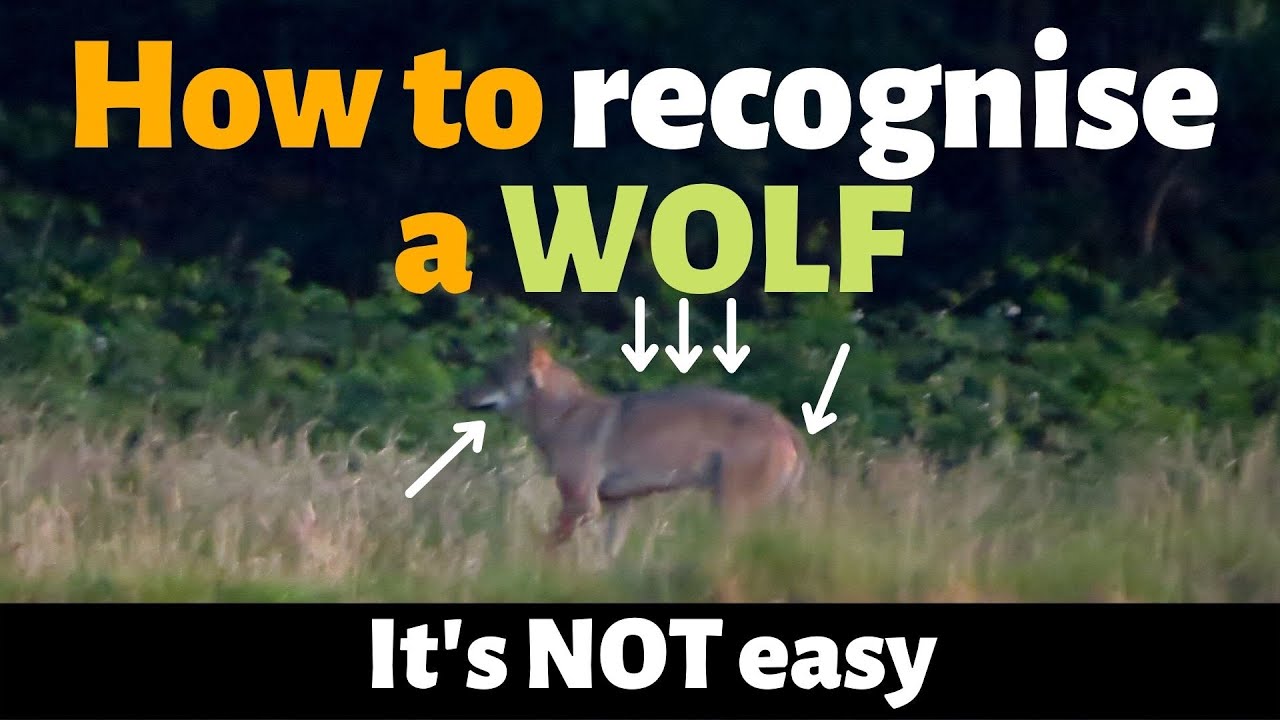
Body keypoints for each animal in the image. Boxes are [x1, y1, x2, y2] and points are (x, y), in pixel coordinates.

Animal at [459, 327, 808, 558]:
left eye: (492, 374)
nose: (459, 397)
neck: (564, 414)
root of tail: (785, 426)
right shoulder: (617, 507)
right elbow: (605, 560)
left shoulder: (580, 504)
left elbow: (544, 546)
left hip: (730, 510)